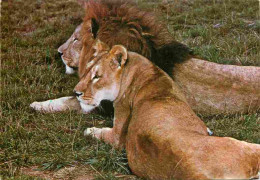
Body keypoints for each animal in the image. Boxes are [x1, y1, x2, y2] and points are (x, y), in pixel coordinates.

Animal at [73, 42, 260, 180]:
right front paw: (89, 130)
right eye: (86, 73)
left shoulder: (119, 133)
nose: (76, 93)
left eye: (96, 76)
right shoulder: (117, 135)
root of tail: (196, 174)